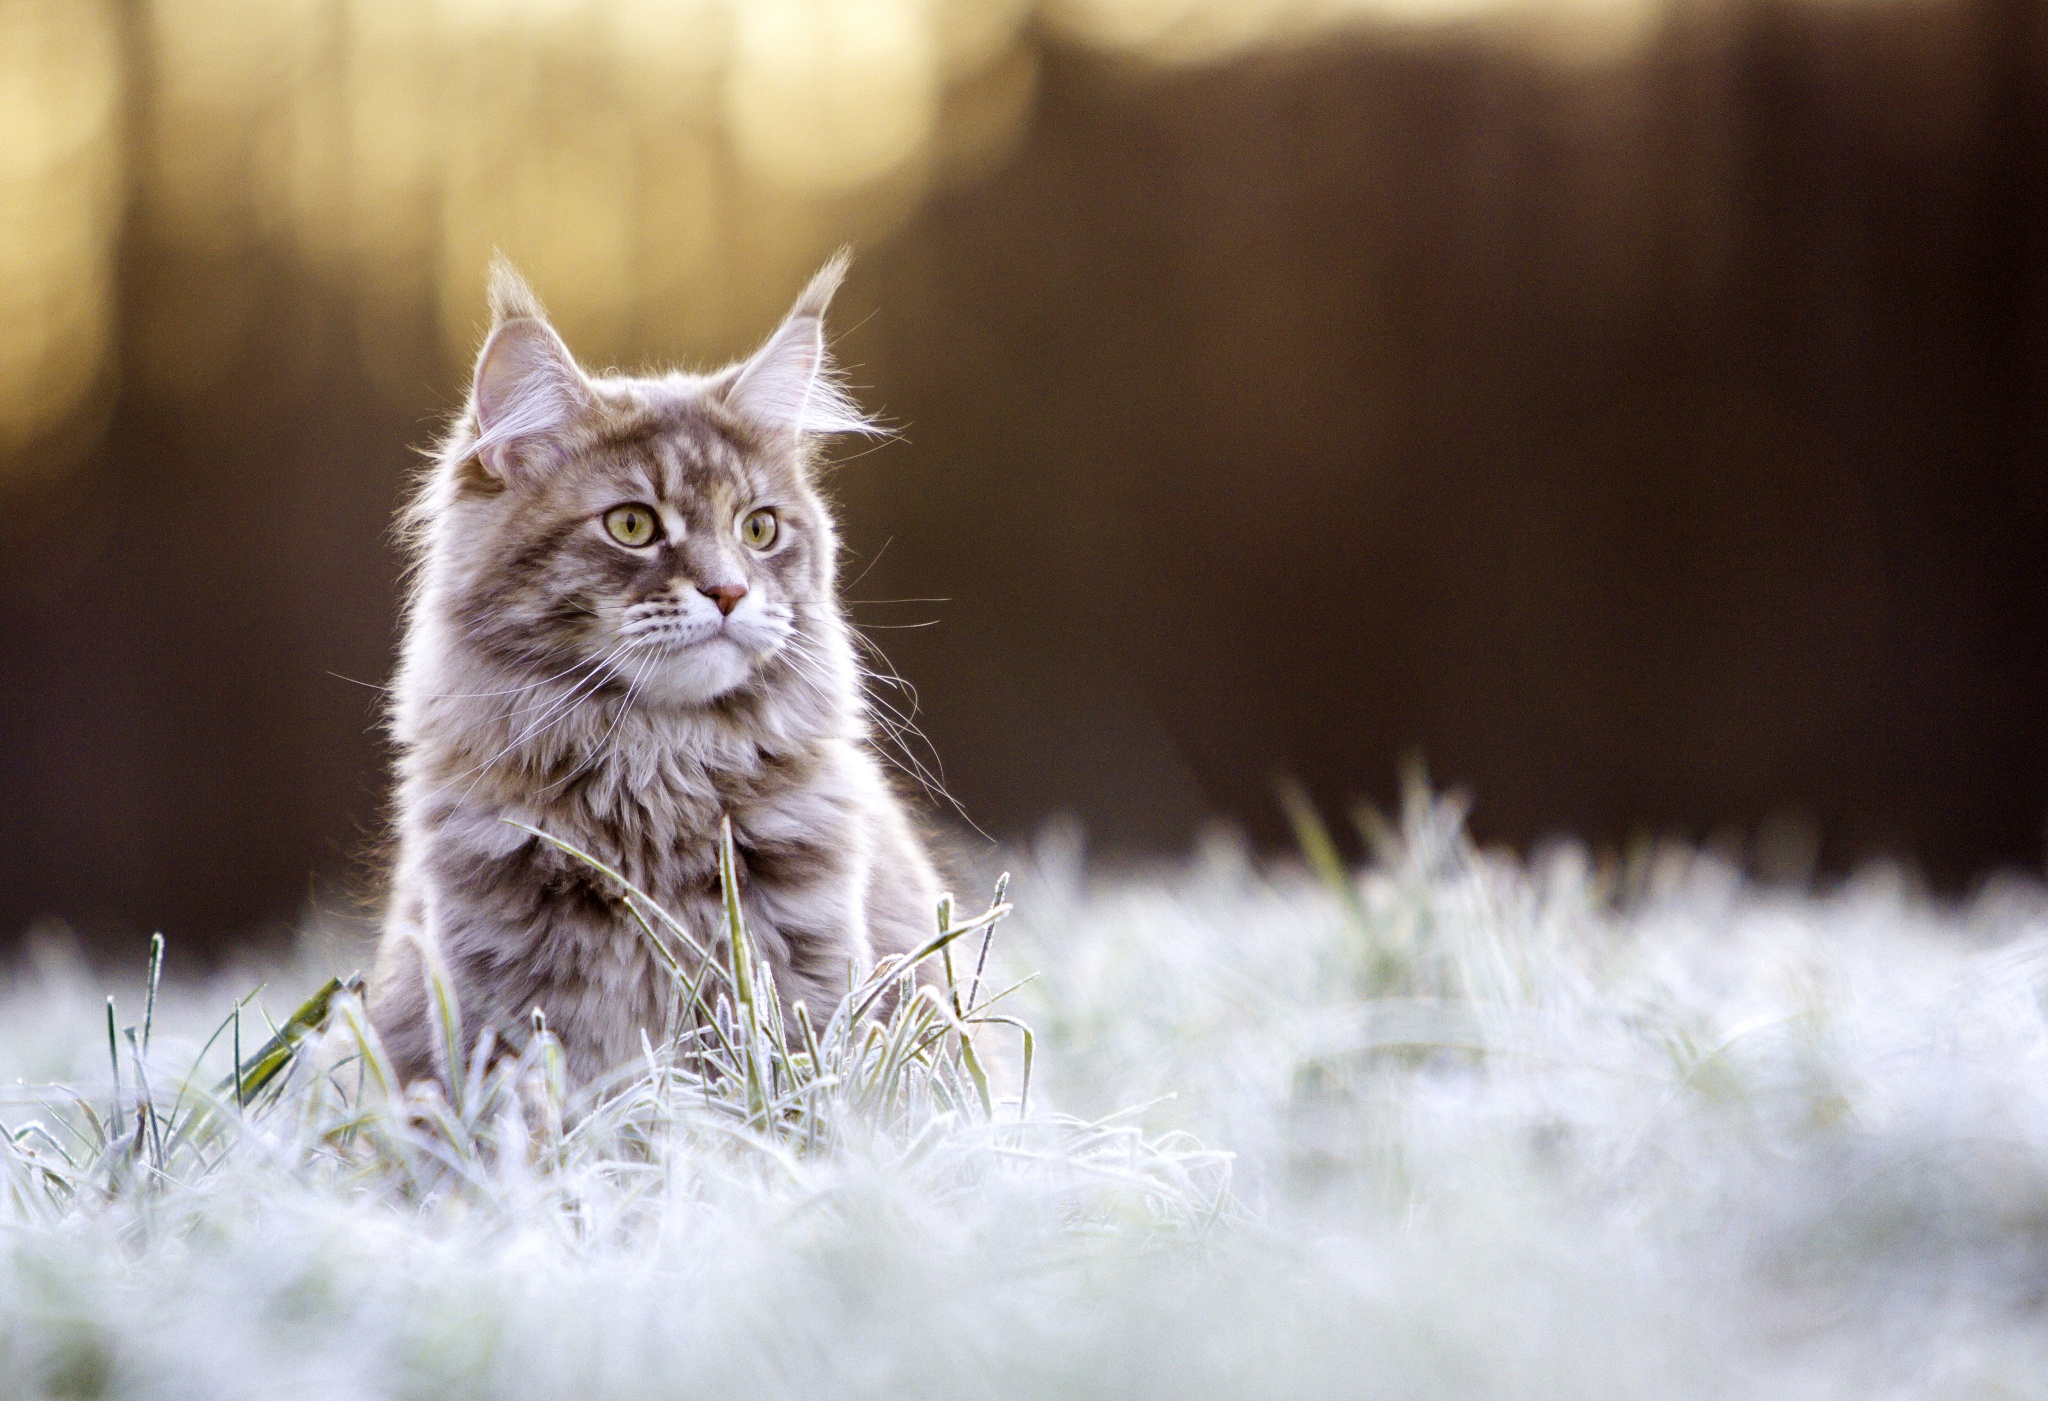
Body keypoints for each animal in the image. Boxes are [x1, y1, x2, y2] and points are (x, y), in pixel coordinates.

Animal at [368, 248, 942, 1081]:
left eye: (759, 528)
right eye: (633, 525)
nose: (729, 590)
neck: (656, 761)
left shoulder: (808, 993)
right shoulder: (499, 1018)